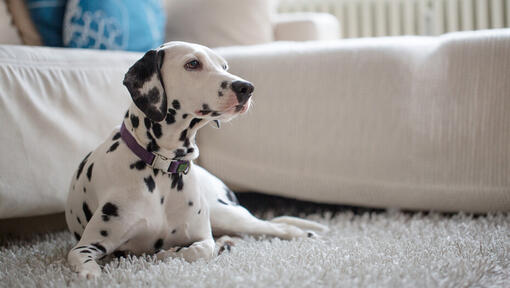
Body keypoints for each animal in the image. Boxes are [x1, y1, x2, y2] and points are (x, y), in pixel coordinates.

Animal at [64, 41, 326, 280]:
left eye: (224, 66)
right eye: (192, 63)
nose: (247, 87)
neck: (162, 168)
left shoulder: (202, 237)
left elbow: (199, 250)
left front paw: (167, 253)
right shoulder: (86, 245)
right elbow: (81, 258)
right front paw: (90, 273)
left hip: (228, 215)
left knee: (276, 226)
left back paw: (304, 235)